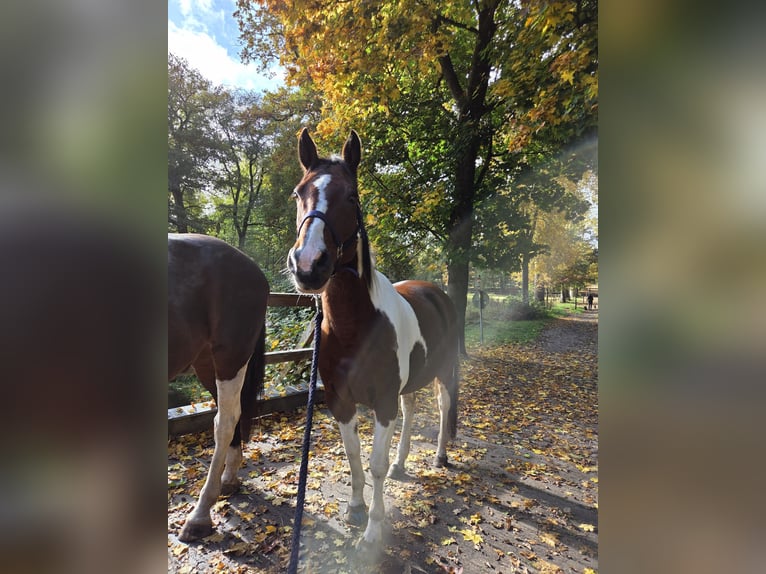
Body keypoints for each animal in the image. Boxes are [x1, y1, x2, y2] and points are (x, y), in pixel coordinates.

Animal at [286, 129, 460, 550]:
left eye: (352, 196)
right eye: (298, 194)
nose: (308, 266)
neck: (355, 328)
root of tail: (437, 292)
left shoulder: (382, 402)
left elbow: (374, 465)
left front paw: (373, 531)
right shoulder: (341, 401)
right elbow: (353, 457)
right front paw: (355, 508)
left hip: (443, 372)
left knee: (444, 406)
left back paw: (439, 457)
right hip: (410, 383)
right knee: (411, 410)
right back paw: (402, 463)